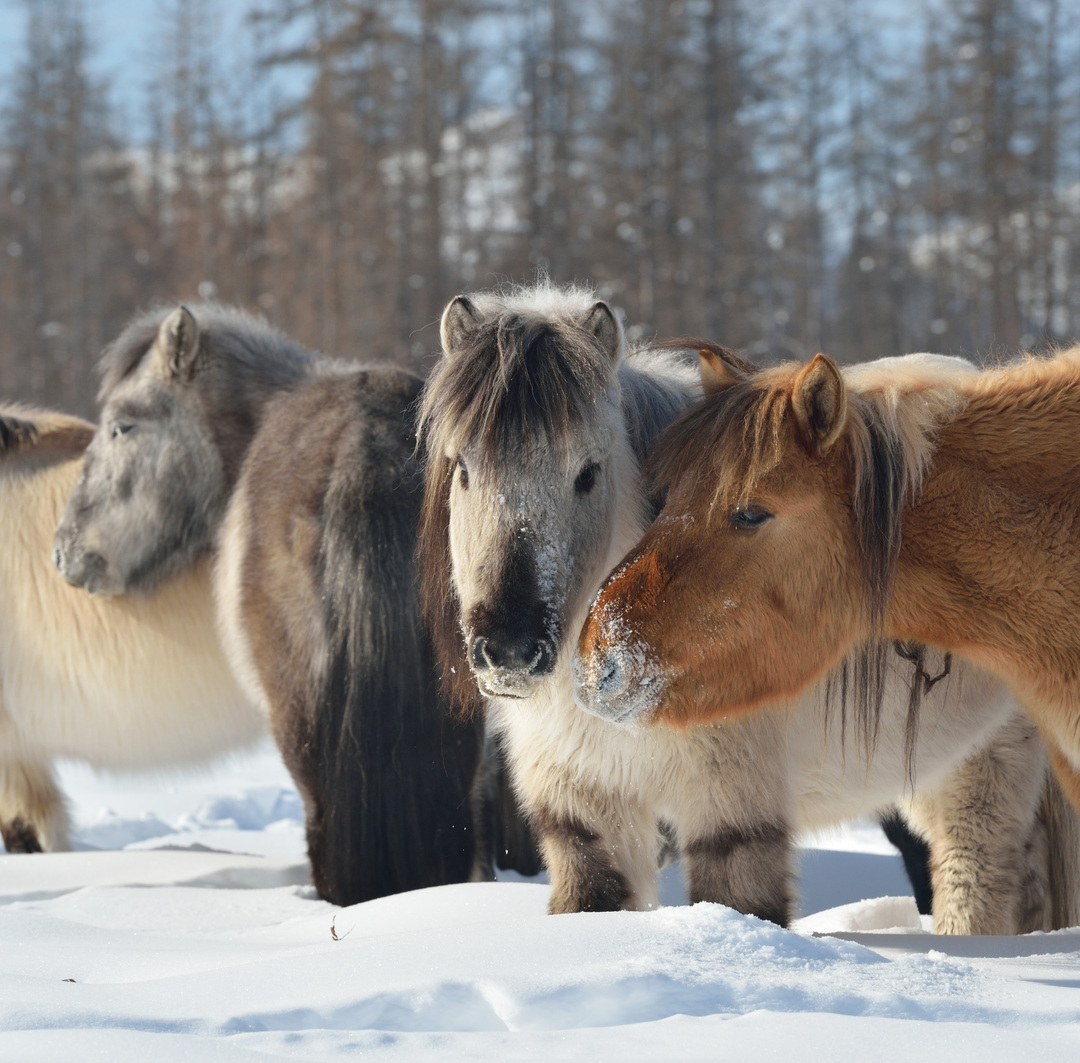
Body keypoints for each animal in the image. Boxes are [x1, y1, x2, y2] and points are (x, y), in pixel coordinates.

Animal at [416, 287, 1075, 933]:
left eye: (588, 472)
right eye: (463, 467)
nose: (510, 649)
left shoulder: (732, 810)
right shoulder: (584, 814)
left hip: (987, 769)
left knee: (977, 880)